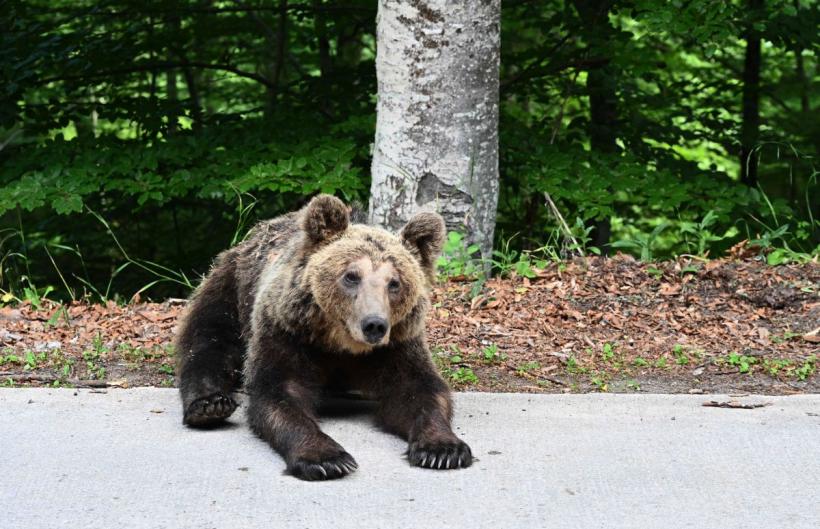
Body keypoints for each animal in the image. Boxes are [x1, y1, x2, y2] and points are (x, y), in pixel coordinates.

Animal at [178, 193, 474, 478]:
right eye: (352, 275)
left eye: (394, 282)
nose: (374, 325)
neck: (341, 344)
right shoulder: (286, 332)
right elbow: (280, 393)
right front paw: (326, 459)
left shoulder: (396, 344)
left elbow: (418, 390)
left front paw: (442, 449)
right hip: (231, 288)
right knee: (209, 339)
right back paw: (210, 405)